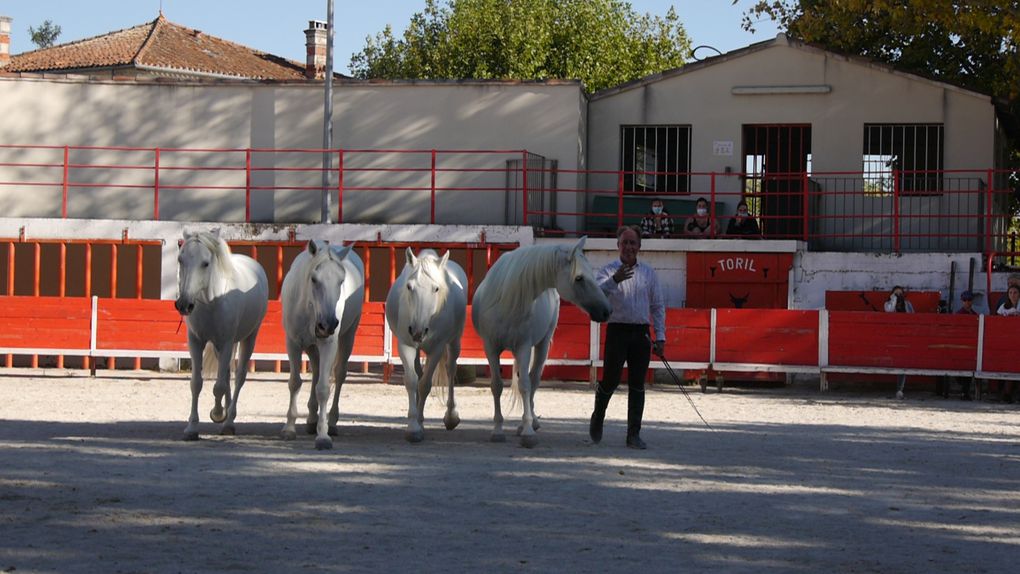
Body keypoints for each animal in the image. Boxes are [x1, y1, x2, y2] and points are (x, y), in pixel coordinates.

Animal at [176, 231, 269, 442]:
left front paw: (218, 415)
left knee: (239, 377)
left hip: (248, 338)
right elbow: (197, 383)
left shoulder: (226, 342)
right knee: (225, 374)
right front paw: (192, 427)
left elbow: (218, 386)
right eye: (180, 260)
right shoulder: (196, 341)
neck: (213, 301)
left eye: (205, 263)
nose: (184, 304)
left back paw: (229, 421)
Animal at [281, 238, 365, 448]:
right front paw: (289, 428)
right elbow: (295, 383)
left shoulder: (328, 344)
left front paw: (323, 435)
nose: (328, 324)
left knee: (339, 374)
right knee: (317, 371)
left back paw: (332, 422)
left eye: (341, 281)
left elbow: (323, 388)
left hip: (347, 337)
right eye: (314, 279)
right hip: (312, 346)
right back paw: (311, 418)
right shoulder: (293, 343)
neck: (309, 308)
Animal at [385, 247, 469, 444]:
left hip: (454, 341)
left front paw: (418, 425)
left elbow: (424, 384)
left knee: (451, 369)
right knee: (418, 371)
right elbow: (412, 380)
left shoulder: (437, 348)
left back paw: (451, 416)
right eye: (409, 287)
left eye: (436, 288)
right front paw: (414, 425)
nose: (417, 331)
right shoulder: (406, 345)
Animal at [473, 235, 607, 446]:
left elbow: (525, 385)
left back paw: (529, 423)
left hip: (542, 344)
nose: (606, 311)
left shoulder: (524, 347)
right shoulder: (490, 348)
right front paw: (497, 430)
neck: (507, 300)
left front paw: (527, 430)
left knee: (534, 379)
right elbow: (496, 386)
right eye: (579, 278)